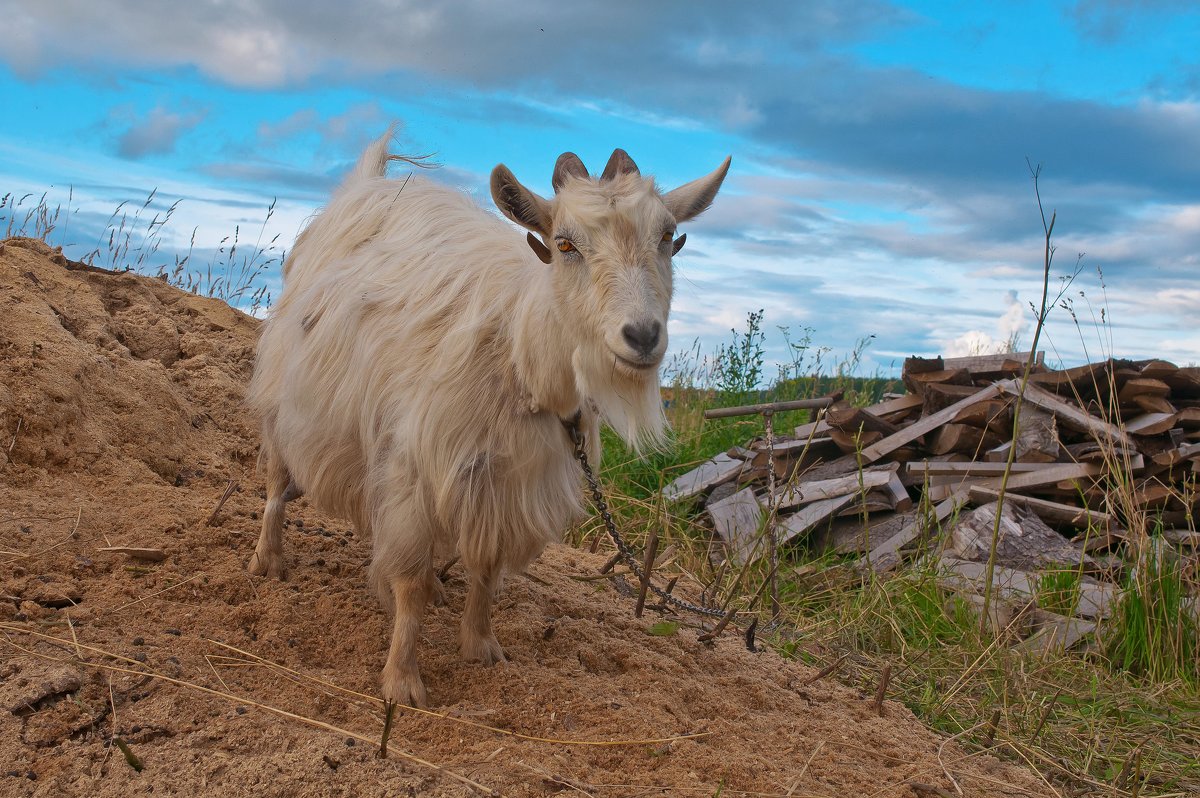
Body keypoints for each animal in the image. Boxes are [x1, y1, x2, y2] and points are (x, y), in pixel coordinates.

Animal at [248, 127, 724, 705]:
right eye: (565, 244)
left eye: (668, 236)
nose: (642, 335)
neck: (520, 354)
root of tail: (365, 184)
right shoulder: (417, 468)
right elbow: (411, 581)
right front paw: (403, 681)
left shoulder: (507, 483)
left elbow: (487, 568)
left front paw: (481, 646)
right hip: (287, 395)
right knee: (277, 479)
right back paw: (268, 561)